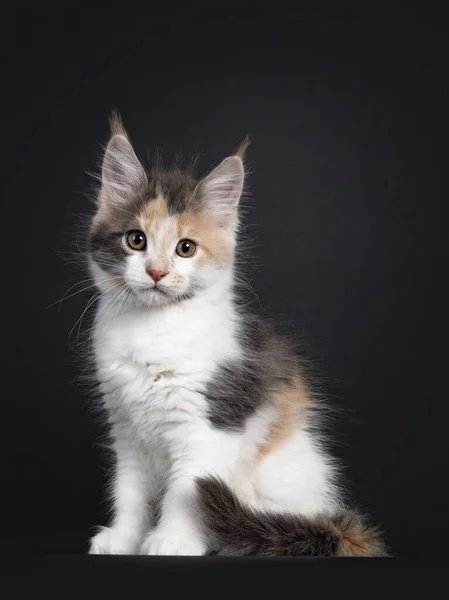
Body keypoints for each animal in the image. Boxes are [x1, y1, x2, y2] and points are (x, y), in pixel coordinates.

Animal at [85, 115, 384, 556]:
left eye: (186, 248)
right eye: (136, 240)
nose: (156, 272)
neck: (155, 327)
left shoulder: (214, 421)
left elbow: (186, 488)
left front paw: (172, 540)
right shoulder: (124, 425)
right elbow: (130, 488)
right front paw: (123, 537)